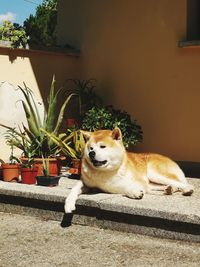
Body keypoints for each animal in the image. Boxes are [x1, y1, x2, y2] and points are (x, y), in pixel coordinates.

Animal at [64, 127, 194, 214]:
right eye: (91, 148)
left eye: (102, 147)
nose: (91, 153)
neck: (102, 172)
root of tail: (169, 158)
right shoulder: (87, 183)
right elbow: (74, 189)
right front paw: (68, 204)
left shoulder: (128, 183)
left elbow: (122, 186)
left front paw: (134, 192)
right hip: (153, 181)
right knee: (161, 187)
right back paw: (168, 189)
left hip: (155, 173)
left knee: (182, 183)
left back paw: (187, 189)